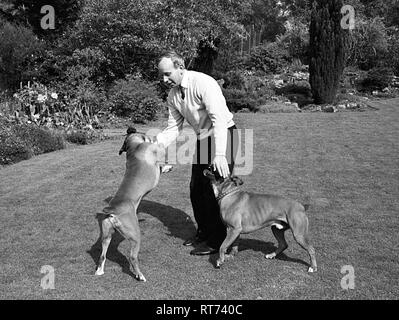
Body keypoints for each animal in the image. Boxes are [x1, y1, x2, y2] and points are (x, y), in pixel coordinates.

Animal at [97, 126, 173, 282]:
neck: (133, 147)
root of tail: (113, 210)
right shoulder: (156, 150)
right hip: (135, 235)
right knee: (132, 257)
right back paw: (140, 275)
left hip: (106, 235)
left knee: (102, 255)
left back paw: (99, 271)